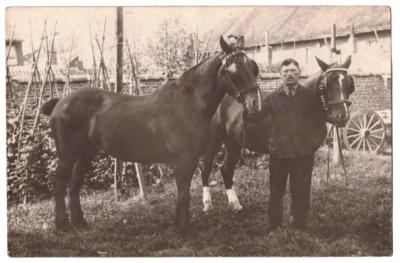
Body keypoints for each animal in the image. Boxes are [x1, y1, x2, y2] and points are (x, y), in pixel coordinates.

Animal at [39, 36, 260, 234]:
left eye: (252, 66)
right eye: (232, 69)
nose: (254, 104)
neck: (188, 104)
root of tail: (60, 102)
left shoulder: (188, 161)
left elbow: (182, 192)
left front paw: (176, 223)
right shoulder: (183, 160)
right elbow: (184, 194)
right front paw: (184, 227)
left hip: (86, 155)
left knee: (74, 186)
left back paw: (80, 223)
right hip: (67, 155)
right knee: (60, 186)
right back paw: (63, 225)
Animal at [199, 56, 354, 212]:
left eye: (349, 84)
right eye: (327, 84)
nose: (342, 116)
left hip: (233, 142)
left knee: (226, 169)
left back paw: (235, 204)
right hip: (214, 140)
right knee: (205, 167)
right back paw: (207, 204)